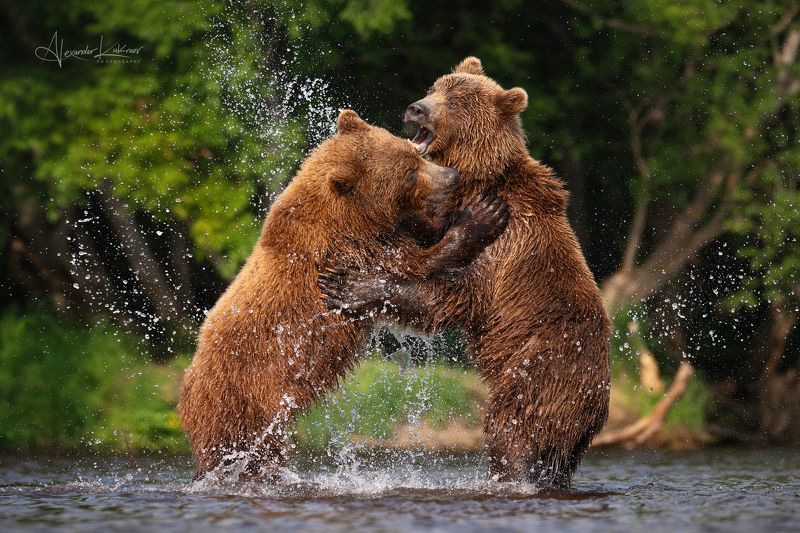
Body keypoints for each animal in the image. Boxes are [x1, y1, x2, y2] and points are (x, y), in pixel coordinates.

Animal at [177, 109, 509, 479]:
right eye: (408, 173)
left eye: (414, 153)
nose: (452, 177)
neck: (352, 217)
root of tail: (185, 398)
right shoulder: (346, 250)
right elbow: (415, 264)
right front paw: (482, 214)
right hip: (240, 401)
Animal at [320, 59, 610, 489]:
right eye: (433, 88)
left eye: (455, 103)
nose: (416, 109)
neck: (479, 178)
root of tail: (599, 404)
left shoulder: (504, 247)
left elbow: (448, 297)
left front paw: (352, 287)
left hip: (540, 370)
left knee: (513, 428)